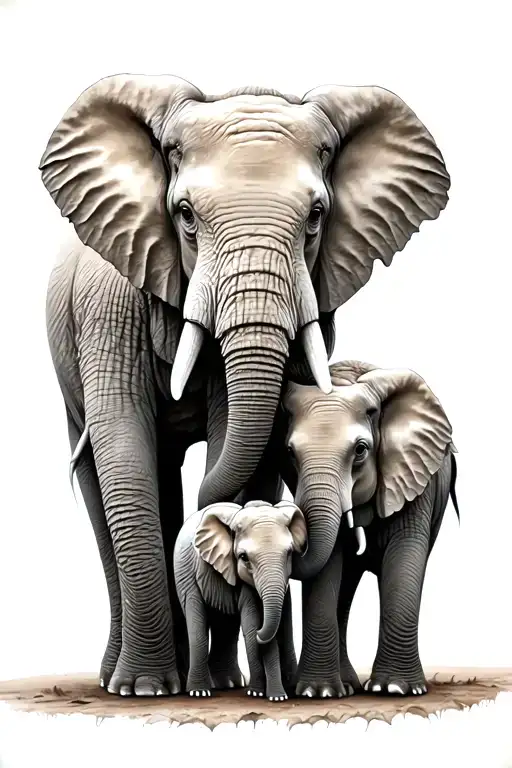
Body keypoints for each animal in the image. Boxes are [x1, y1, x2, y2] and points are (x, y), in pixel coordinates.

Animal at [174, 499, 306, 700]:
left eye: (290, 553)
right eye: (244, 558)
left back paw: (226, 684)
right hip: (184, 572)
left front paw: (276, 696)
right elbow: (250, 624)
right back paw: (200, 692)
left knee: (225, 623)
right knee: (196, 619)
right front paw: (257, 693)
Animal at [278, 360, 458, 697]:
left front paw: (396, 689)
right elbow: (328, 565)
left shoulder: (414, 477)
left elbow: (404, 558)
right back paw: (346, 686)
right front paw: (317, 693)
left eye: (361, 450)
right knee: (346, 585)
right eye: (290, 453)